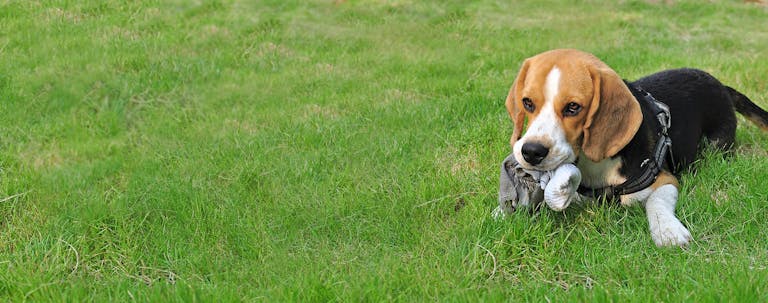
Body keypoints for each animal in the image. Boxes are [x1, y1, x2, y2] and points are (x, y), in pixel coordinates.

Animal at [504, 49, 768, 247]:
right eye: (527, 103)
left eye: (573, 107)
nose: (531, 152)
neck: (595, 163)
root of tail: (720, 84)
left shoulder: (665, 179)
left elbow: (655, 202)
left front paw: (668, 231)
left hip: (716, 146)